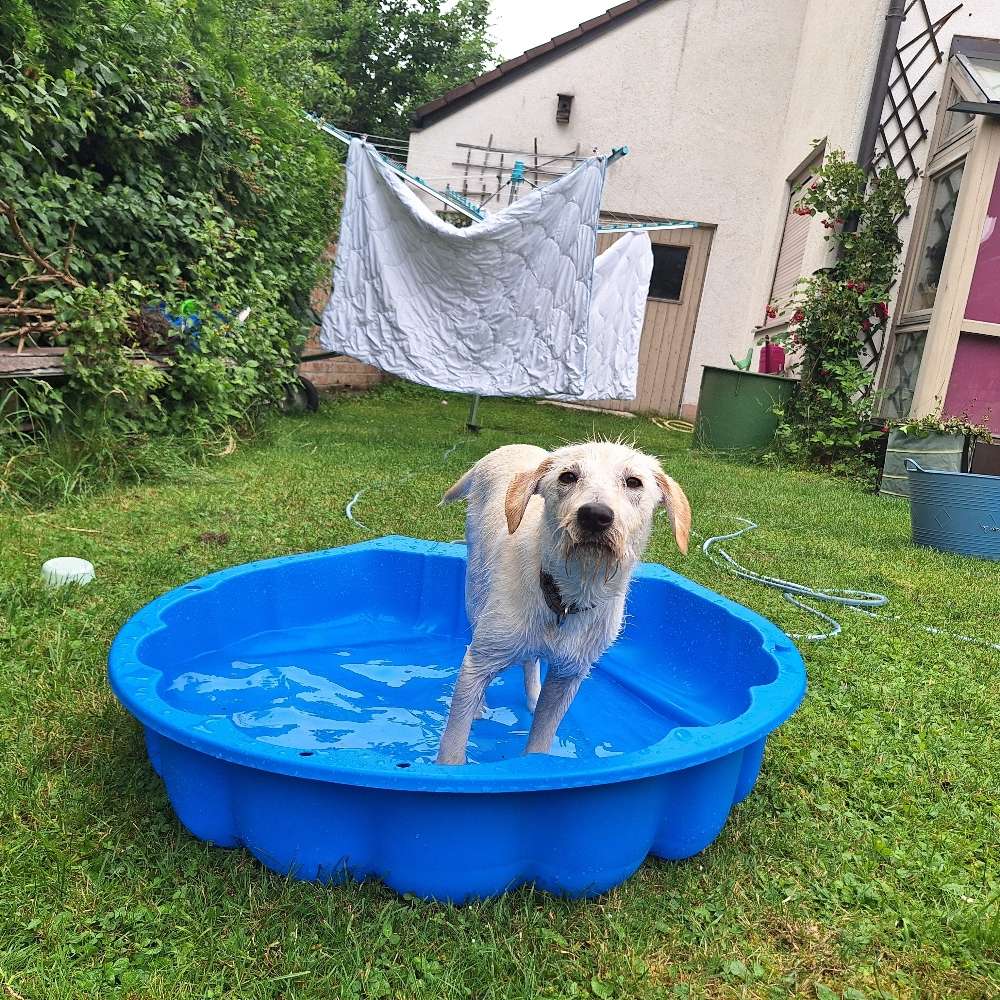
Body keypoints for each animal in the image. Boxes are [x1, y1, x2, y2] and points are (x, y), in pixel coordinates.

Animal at [438, 440, 688, 764]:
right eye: (567, 477)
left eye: (634, 482)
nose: (595, 515)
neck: (566, 595)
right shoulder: (480, 660)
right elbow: (454, 743)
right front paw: (449, 766)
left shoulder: (567, 676)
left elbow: (541, 738)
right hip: (475, 591)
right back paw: (480, 705)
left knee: (530, 661)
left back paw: (533, 695)